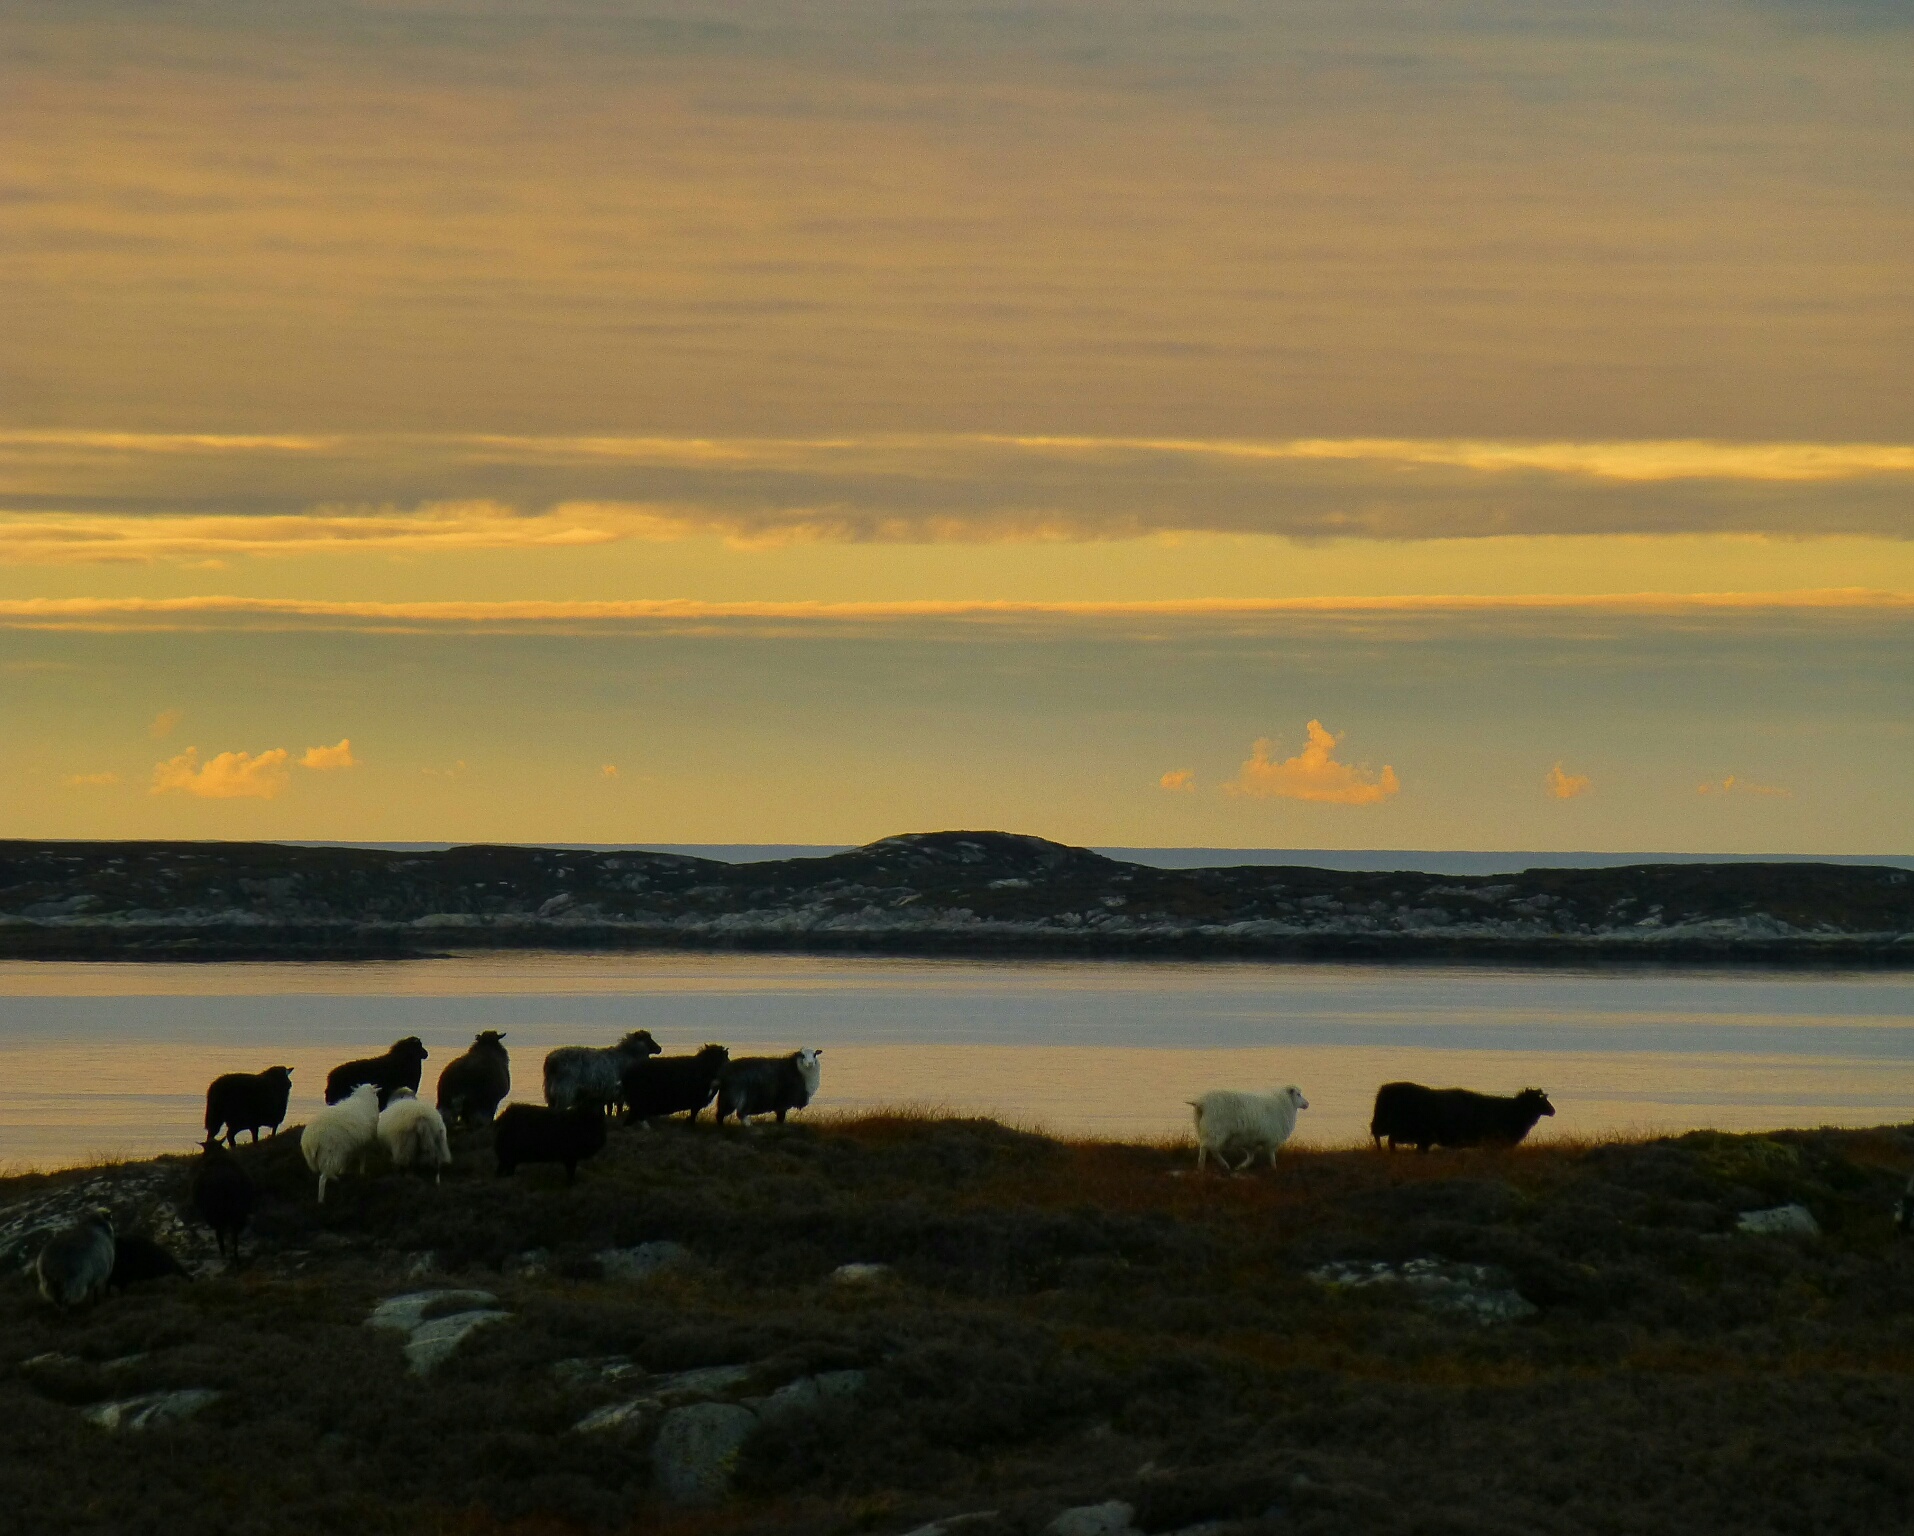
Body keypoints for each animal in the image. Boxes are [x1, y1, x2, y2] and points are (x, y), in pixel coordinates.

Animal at [192, 1132, 258, 1270]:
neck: (216, 1156)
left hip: (216, 1211)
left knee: (221, 1233)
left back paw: (225, 1254)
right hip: (238, 1212)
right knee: (234, 1235)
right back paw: (236, 1258)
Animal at [1362, 1078, 1554, 1155]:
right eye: (1539, 1100)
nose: (1553, 1111)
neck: (1514, 1110)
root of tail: (1384, 1090)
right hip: (1398, 1129)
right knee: (1387, 1141)